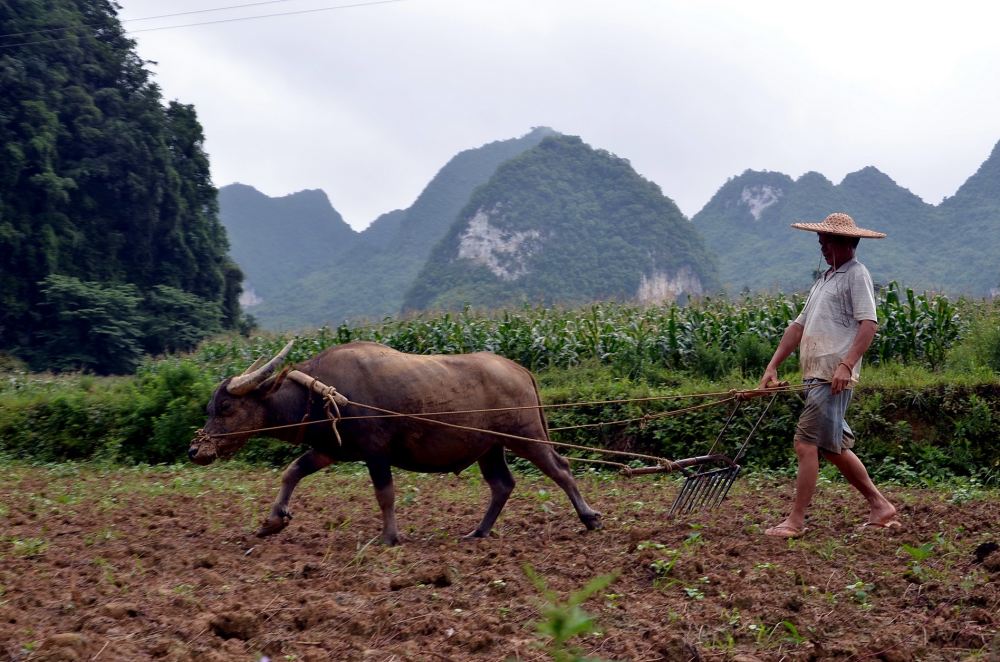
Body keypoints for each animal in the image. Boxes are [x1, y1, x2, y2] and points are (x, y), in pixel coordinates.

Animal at [189, 342, 600, 544]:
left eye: (225, 407)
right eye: (210, 406)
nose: (196, 450)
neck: (318, 394)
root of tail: (519, 369)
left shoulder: (375, 453)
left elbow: (384, 494)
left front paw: (389, 536)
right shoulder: (329, 450)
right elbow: (292, 472)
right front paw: (273, 521)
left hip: (526, 436)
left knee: (561, 470)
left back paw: (589, 517)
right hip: (489, 447)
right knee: (502, 484)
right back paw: (478, 532)